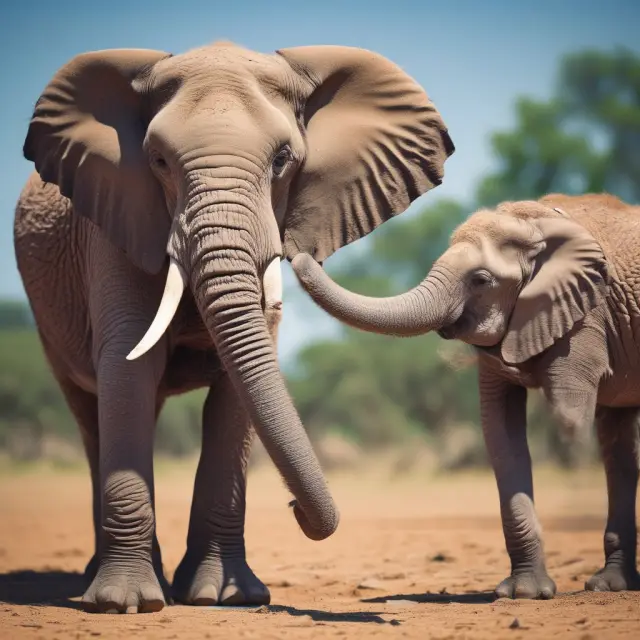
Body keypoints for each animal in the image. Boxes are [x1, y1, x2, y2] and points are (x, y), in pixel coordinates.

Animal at [13, 41, 454, 613]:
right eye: (158, 161)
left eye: (283, 159)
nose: (295, 510)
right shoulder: (116, 221)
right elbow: (129, 367)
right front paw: (125, 604)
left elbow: (235, 388)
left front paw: (224, 597)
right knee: (91, 415)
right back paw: (102, 581)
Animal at [292, 193, 640, 599]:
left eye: (481, 280)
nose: (299, 253)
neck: (529, 222)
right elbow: (500, 430)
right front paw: (523, 594)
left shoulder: (587, 315)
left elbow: (568, 417)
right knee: (618, 445)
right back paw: (611, 586)